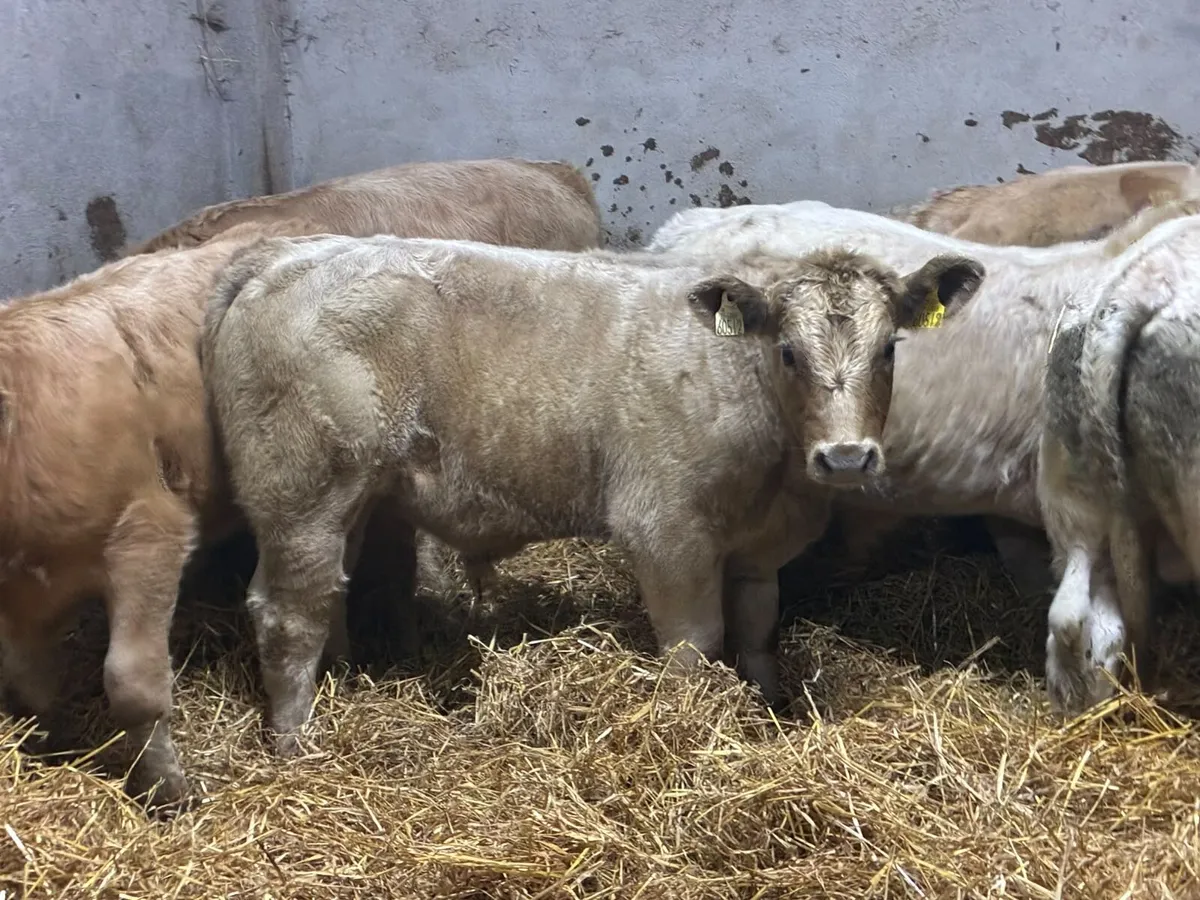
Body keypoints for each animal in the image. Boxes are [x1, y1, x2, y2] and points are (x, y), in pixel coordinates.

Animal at [0, 157, 603, 813]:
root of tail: (548, 168)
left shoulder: (147, 533)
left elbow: (131, 681)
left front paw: (170, 793)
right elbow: (29, 683)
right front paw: (56, 746)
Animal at [199, 233, 984, 755]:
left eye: (889, 350)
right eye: (788, 352)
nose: (847, 457)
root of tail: (285, 256)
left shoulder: (761, 548)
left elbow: (759, 631)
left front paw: (767, 710)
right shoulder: (666, 533)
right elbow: (695, 646)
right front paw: (692, 729)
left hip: (345, 496)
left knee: (324, 595)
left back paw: (340, 684)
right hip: (301, 492)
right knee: (287, 613)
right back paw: (298, 742)